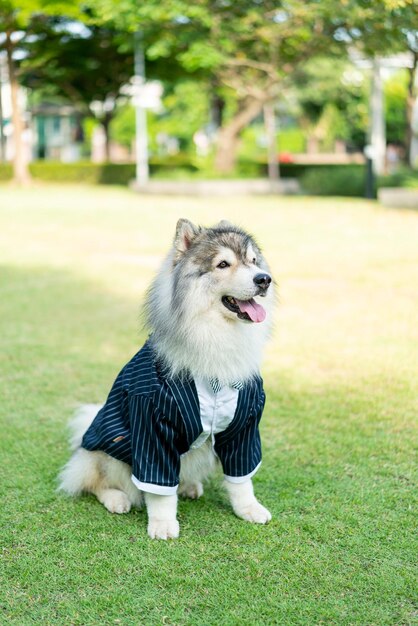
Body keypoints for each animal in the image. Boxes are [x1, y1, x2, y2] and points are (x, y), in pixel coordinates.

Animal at [58, 218, 274, 536]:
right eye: (223, 264)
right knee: (93, 481)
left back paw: (188, 486)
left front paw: (249, 509)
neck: (216, 336)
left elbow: (242, 481)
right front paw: (162, 524)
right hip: (111, 452)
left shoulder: (244, 425)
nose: (264, 280)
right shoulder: (151, 424)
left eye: (253, 261)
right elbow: (159, 491)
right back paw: (116, 499)